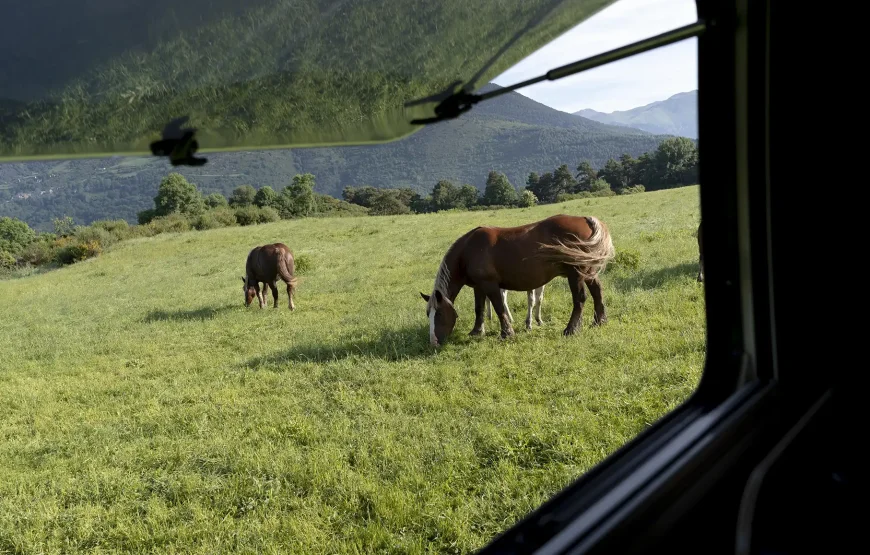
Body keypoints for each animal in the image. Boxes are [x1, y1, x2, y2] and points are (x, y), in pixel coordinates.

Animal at [420, 215, 612, 346]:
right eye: (428, 314)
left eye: (439, 314)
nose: (434, 342)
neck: (468, 250)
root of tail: (585, 220)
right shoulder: (479, 287)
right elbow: (479, 309)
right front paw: (477, 331)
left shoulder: (490, 285)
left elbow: (499, 308)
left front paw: (506, 333)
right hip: (589, 272)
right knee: (597, 292)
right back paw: (599, 321)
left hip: (576, 274)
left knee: (580, 299)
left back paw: (571, 329)